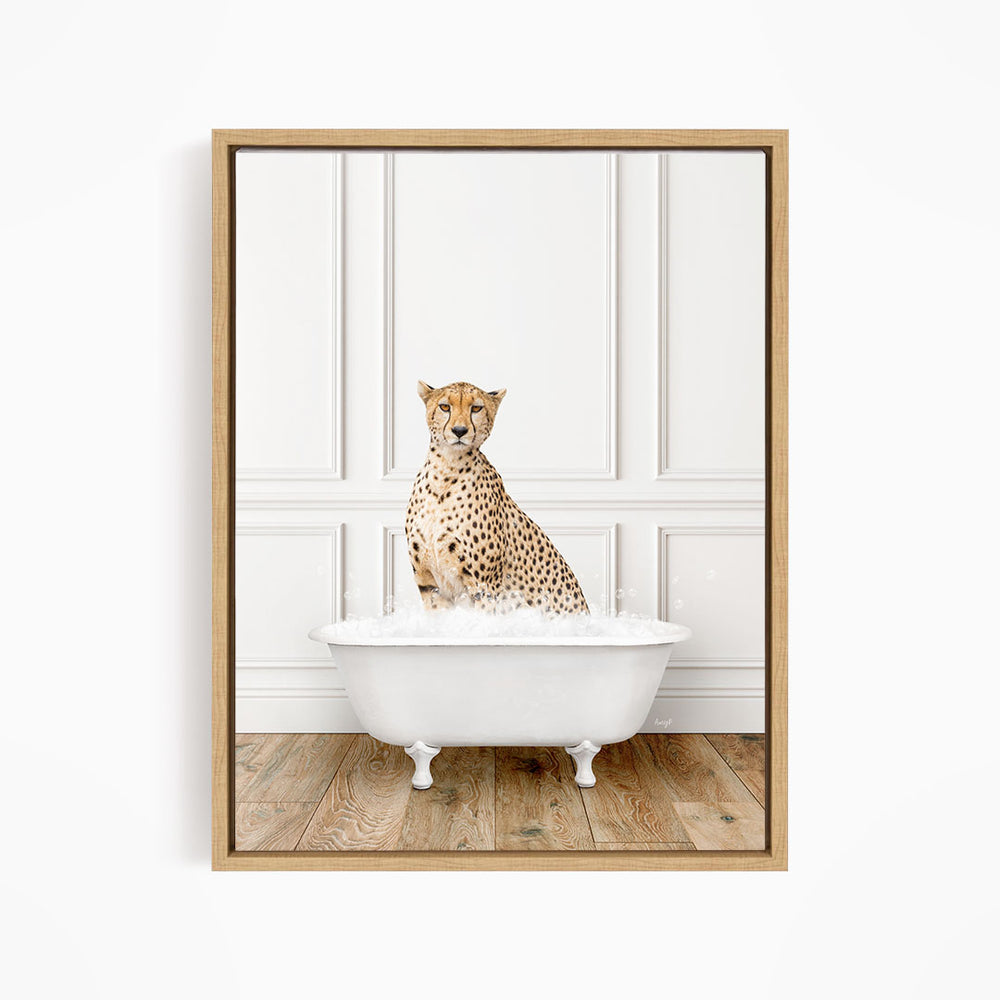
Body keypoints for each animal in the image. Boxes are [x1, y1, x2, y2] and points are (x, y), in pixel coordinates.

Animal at [404, 380, 589, 615]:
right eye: (445, 407)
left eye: (476, 408)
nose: (459, 431)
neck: (446, 469)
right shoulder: (429, 584)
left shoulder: (484, 587)